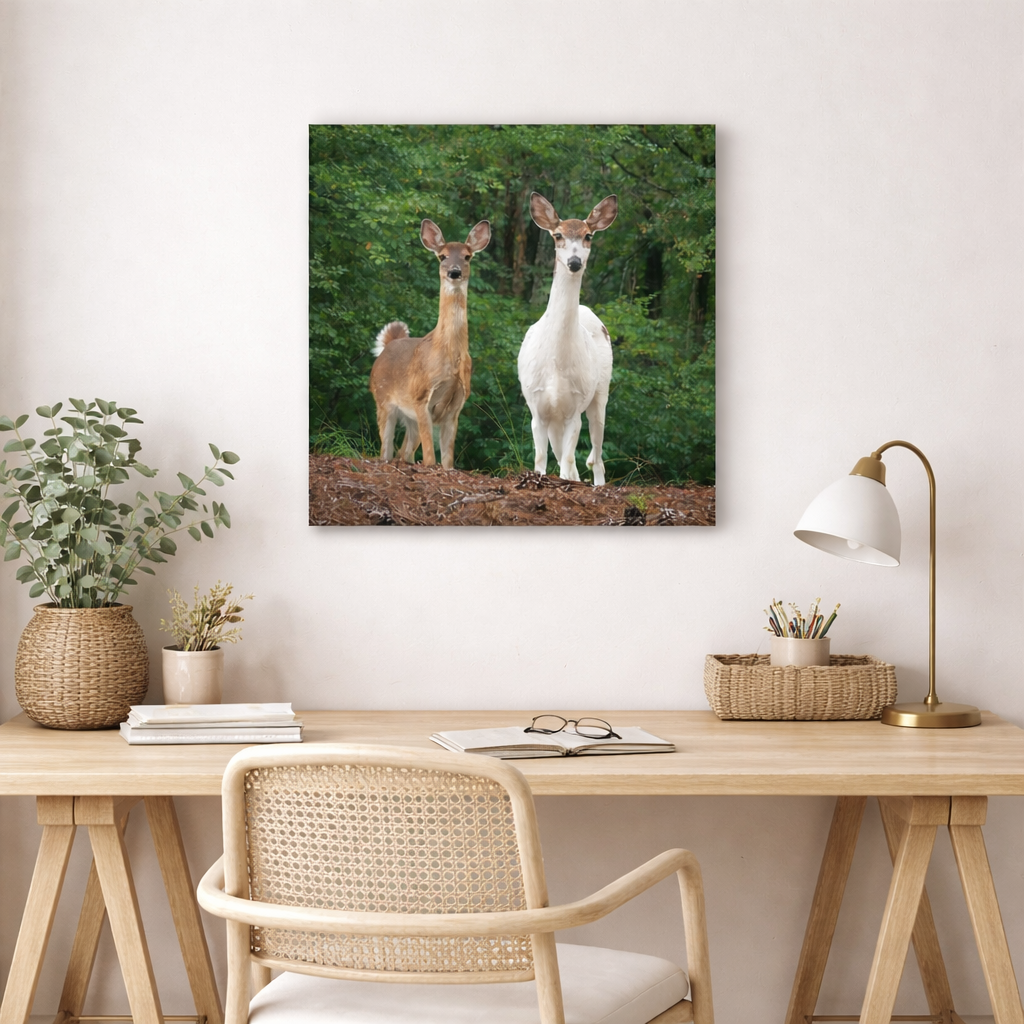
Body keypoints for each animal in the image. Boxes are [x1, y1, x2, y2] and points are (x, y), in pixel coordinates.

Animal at [369, 218, 491, 469]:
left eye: (467, 256)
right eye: (442, 256)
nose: (454, 272)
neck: (448, 355)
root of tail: (388, 346)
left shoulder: (457, 404)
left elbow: (447, 459)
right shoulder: (421, 395)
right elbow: (429, 457)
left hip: (409, 418)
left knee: (403, 452)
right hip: (383, 400)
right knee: (386, 451)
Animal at [517, 192, 618, 486]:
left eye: (588, 235)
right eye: (558, 234)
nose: (574, 262)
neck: (556, 364)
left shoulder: (576, 404)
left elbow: (570, 459)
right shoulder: (536, 405)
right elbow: (541, 459)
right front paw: (539, 479)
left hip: (600, 392)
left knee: (596, 454)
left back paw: (597, 484)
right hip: (556, 418)